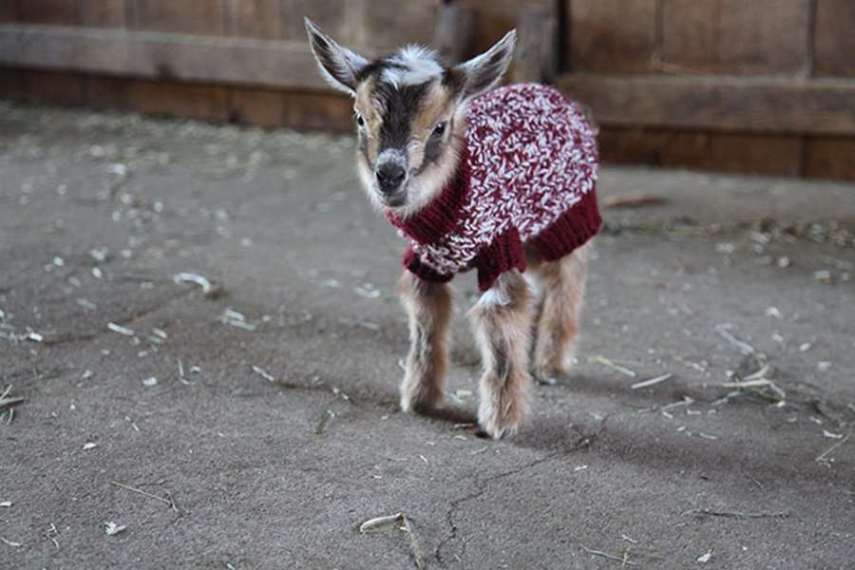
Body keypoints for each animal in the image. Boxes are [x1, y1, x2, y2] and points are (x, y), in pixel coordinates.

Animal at [308, 16, 600, 434]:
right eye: (360, 118)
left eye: (440, 127)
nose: (389, 176)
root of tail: (559, 96)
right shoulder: (427, 260)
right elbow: (426, 319)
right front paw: (420, 399)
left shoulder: (500, 245)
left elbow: (501, 318)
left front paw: (500, 421)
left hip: (568, 213)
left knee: (567, 275)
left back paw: (549, 363)